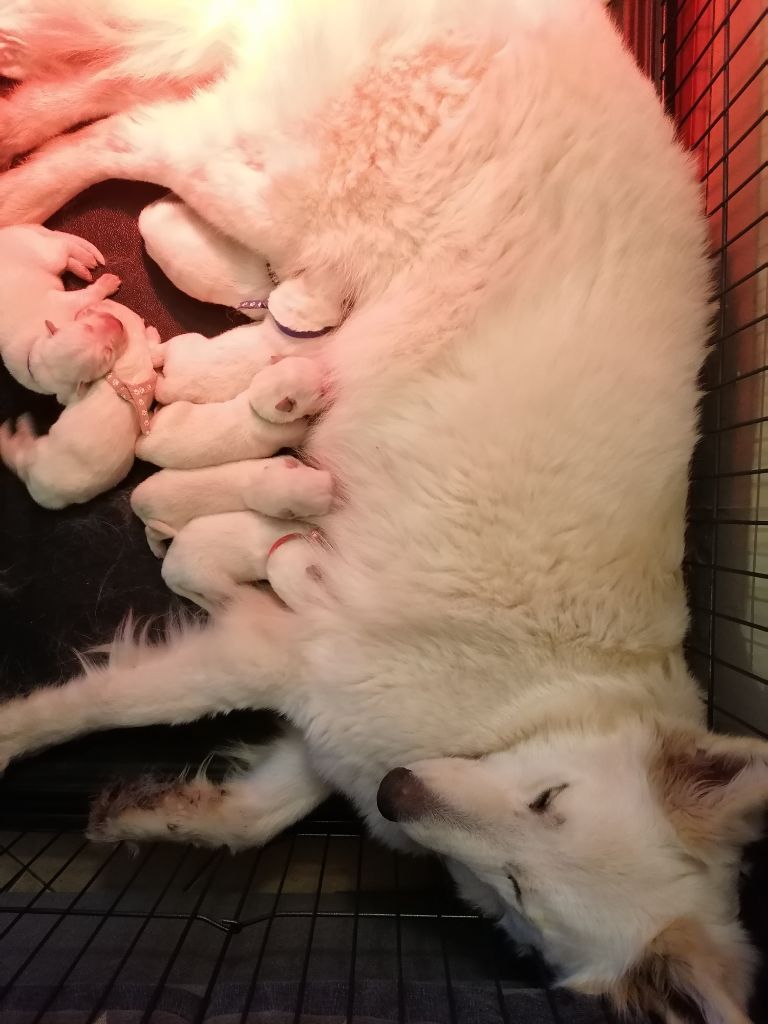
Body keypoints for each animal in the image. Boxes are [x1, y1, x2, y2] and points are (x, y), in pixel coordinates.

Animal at [0, 4, 765, 1019]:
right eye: (548, 799)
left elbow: (265, 813)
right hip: (274, 181)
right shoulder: (276, 651)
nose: (403, 793)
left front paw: (164, 815)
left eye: (518, 889)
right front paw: (14, 737)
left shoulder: (322, 722)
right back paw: (26, 197)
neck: (523, 713)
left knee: (109, 97)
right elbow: (101, 704)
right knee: (124, 132)